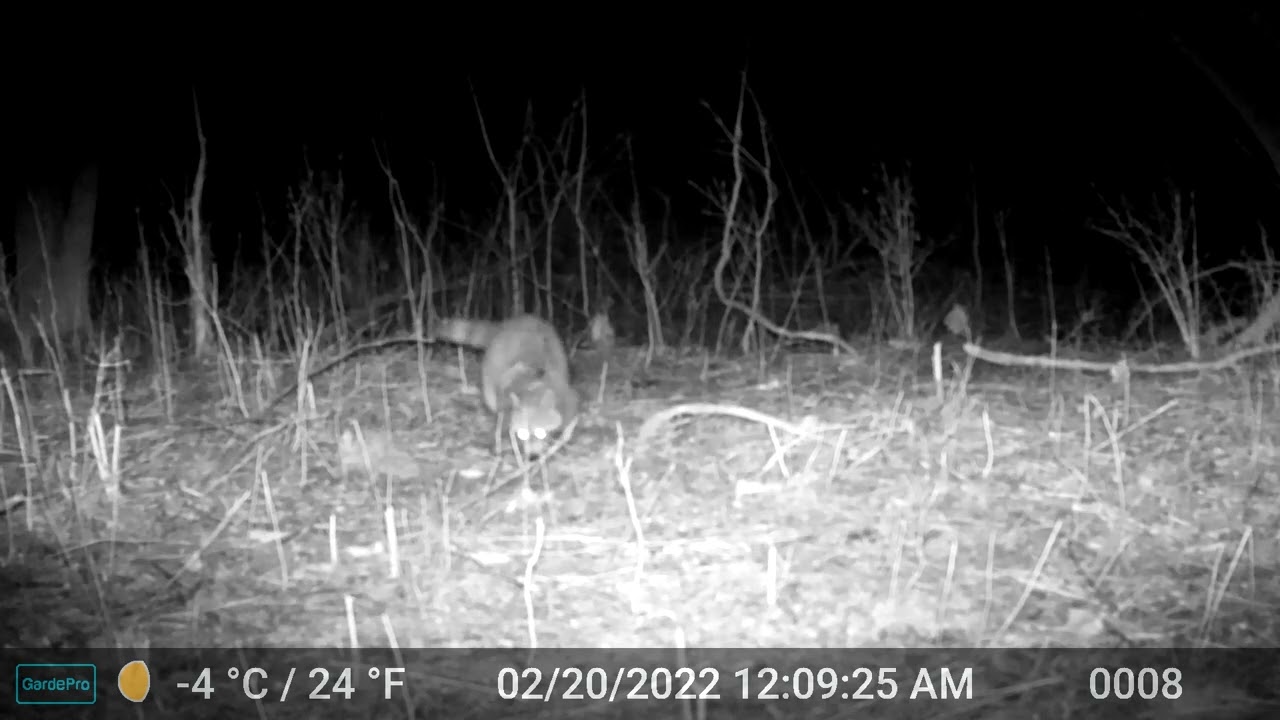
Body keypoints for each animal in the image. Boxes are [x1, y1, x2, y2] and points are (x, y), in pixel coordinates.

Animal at [433, 314, 579, 457]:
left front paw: (563, 438)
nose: (533, 456)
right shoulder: (505, 398)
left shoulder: (566, 395)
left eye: (541, 432)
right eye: (522, 434)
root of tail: (507, 324)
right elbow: (502, 419)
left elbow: (570, 417)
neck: (533, 390)